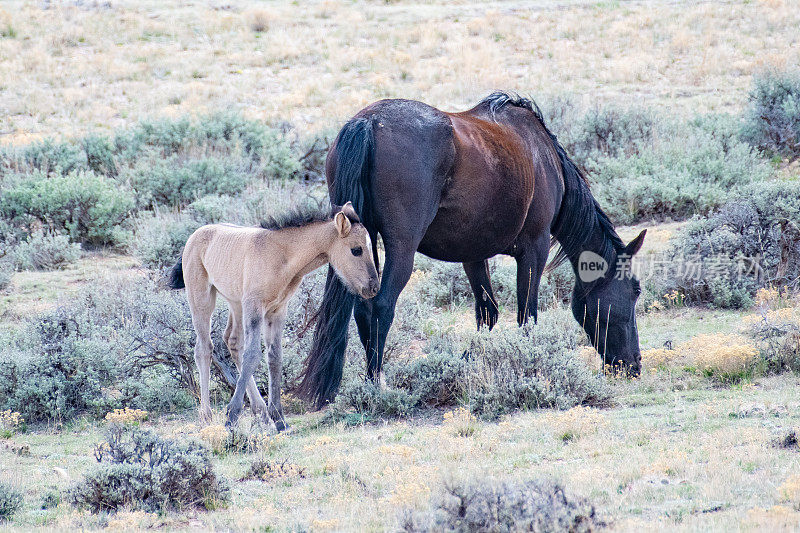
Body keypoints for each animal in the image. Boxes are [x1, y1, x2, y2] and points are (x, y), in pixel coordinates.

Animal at [167, 202, 380, 430]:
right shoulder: (255, 306)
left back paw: (260, 411)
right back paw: (206, 416)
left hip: (236, 303)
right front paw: (232, 416)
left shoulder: (277, 310)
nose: (373, 287)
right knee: (204, 348)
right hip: (201, 298)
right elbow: (252, 355)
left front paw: (279, 418)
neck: (282, 256)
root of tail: (193, 237)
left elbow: (275, 357)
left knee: (233, 342)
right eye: (356, 250)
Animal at [296, 92, 648, 408]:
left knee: (362, 308)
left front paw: (464, 366)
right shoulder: (534, 250)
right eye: (635, 291)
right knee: (381, 306)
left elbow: (487, 313)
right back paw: (375, 386)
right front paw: (529, 369)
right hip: (402, 249)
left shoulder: (473, 255)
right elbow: (527, 316)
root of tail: (369, 122)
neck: (543, 157)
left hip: (360, 244)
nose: (633, 365)